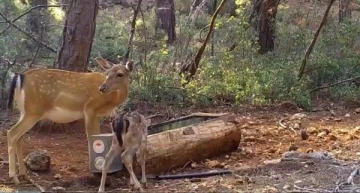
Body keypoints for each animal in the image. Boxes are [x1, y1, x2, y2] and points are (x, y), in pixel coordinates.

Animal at [6, 57, 134, 184]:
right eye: (107, 73)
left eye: (120, 74)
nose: (102, 88)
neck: (112, 99)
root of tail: (20, 76)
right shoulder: (89, 109)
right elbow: (91, 137)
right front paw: (95, 172)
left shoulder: (97, 115)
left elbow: (97, 136)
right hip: (33, 110)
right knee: (11, 133)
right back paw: (13, 177)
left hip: (24, 111)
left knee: (19, 137)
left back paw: (24, 175)